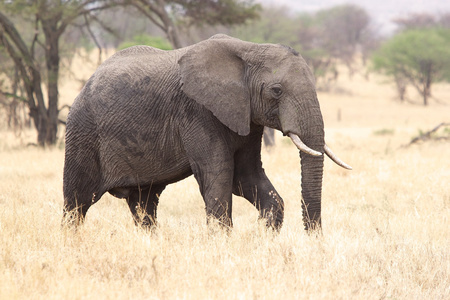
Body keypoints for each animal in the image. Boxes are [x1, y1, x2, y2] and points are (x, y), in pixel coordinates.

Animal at [63, 33, 352, 232]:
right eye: (277, 90)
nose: (315, 238)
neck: (249, 49)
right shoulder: (197, 111)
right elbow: (218, 173)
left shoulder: (246, 116)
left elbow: (245, 176)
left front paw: (263, 237)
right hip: (82, 131)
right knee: (77, 202)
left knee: (144, 204)